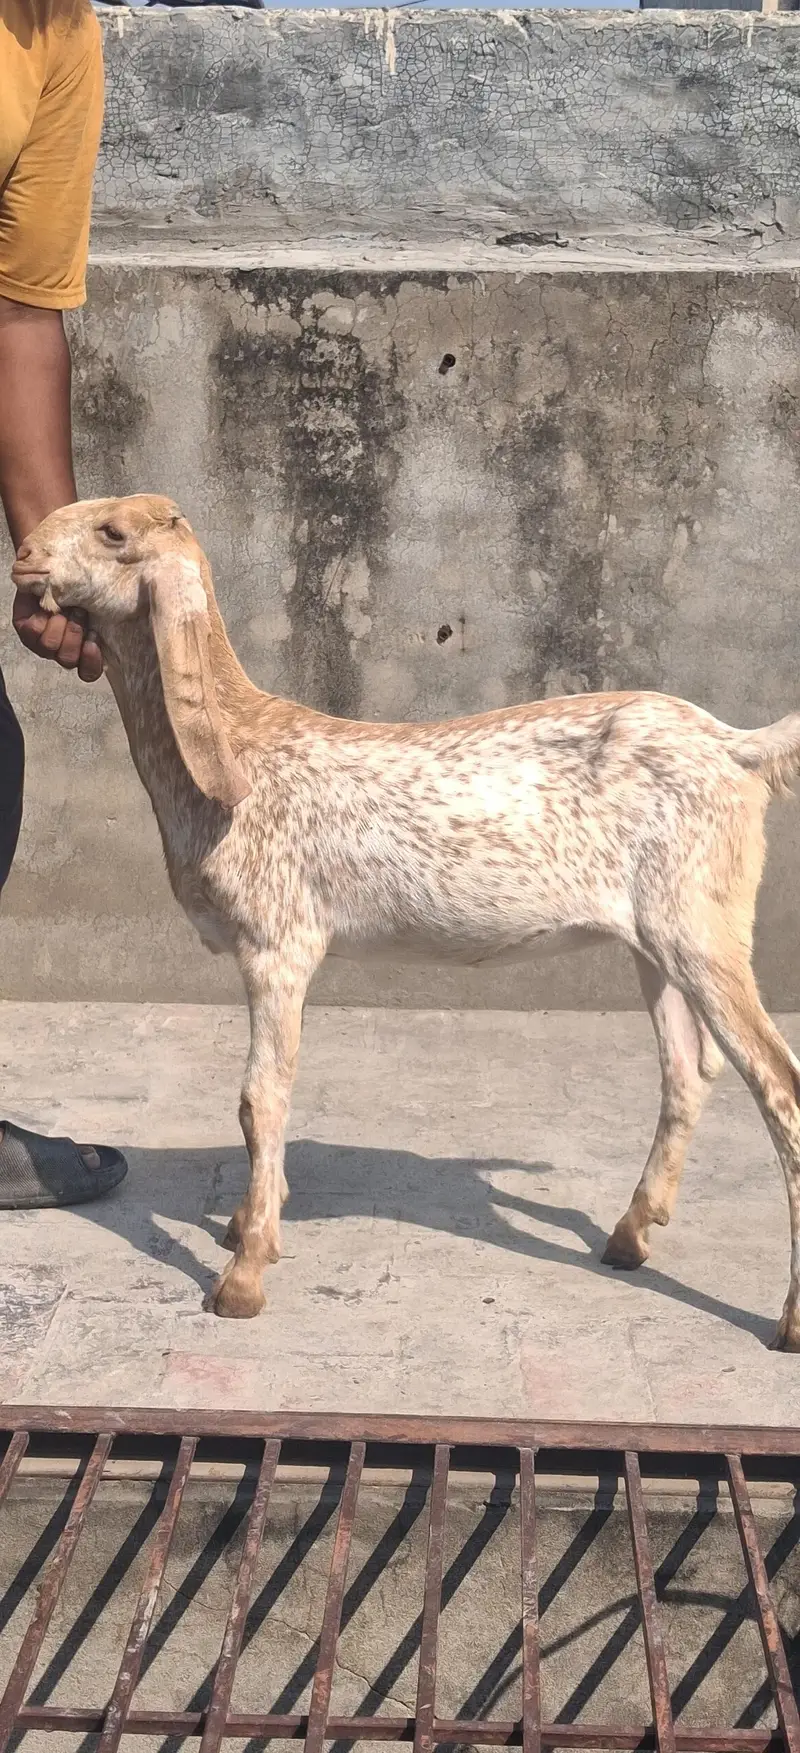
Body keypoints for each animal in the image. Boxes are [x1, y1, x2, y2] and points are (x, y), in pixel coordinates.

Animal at [13, 492, 800, 1343]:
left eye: (113, 533)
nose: (22, 555)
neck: (241, 748)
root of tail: (737, 746)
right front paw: (251, 1225)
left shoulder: (279, 942)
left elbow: (260, 1099)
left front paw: (244, 1273)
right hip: (656, 937)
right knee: (688, 1068)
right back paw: (628, 1235)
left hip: (703, 923)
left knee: (778, 1084)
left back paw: (786, 1319)